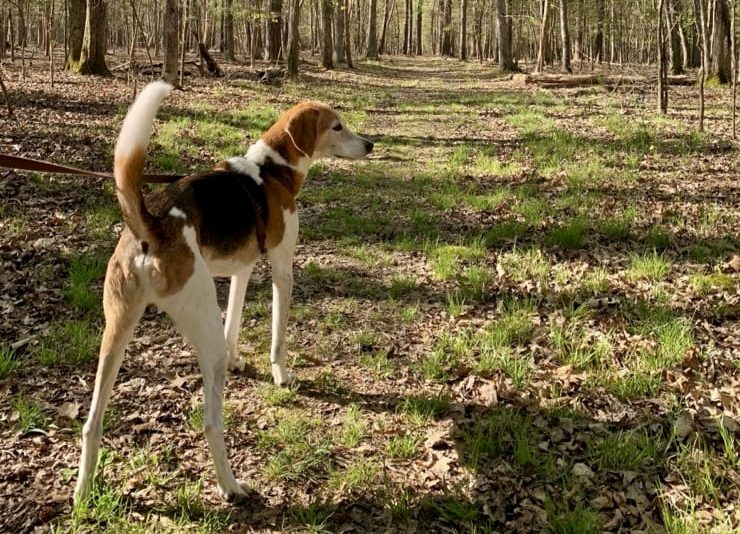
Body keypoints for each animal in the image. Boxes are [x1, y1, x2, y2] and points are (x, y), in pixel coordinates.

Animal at [74, 82, 372, 506]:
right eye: (337, 126)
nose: (371, 144)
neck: (272, 171)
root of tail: (151, 227)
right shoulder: (282, 270)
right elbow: (278, 337)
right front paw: (281, 375)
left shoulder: (240, 272)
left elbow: (235, 321)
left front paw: (238, 361)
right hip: (200, 328)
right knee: (211, 424)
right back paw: (231, 486)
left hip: (115, 334)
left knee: (91, 424)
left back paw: (83, 494)